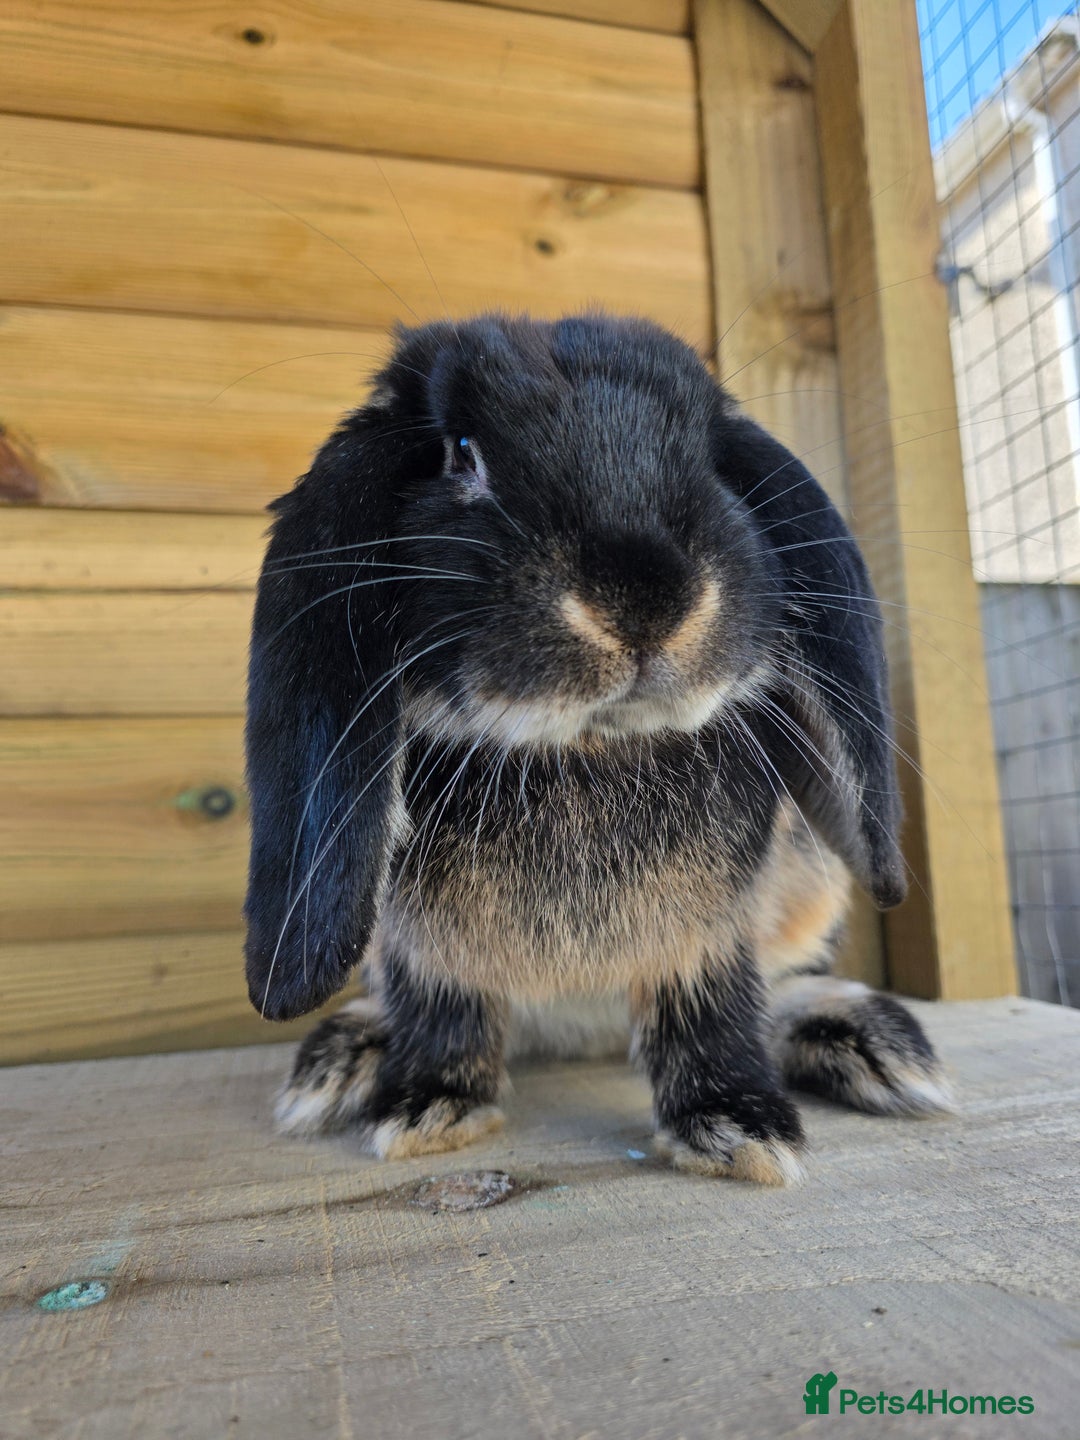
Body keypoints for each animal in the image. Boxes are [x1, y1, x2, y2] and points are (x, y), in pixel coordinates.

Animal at [244, 312, 953, 1185]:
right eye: (461, 453)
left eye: (710, 458)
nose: (643, 597)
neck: (583, 748)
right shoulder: (424, 947)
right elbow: (443, 1010)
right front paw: (426, 1107)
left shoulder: (707, 934)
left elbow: (711, 1008)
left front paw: (737, 1127)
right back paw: (349, 1055)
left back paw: (863, 1039)